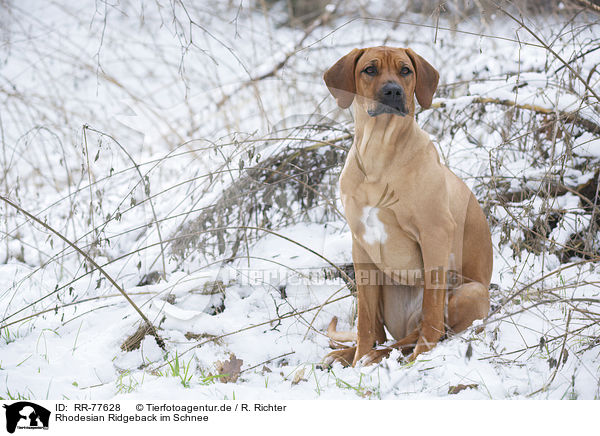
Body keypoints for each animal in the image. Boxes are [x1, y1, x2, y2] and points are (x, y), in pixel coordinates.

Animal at [324, 46, 492, 368]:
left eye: (405, 70)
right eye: (370, 69)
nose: (393, 91)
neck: (379, 154)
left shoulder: (435, 235)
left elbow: (432, 311)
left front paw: (422, 355)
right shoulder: (361, 246)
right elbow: (364, 323)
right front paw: (358, 357)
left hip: (472, 291)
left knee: (422, 329)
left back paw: (388, 353)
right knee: (381, 332)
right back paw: (352, 355)